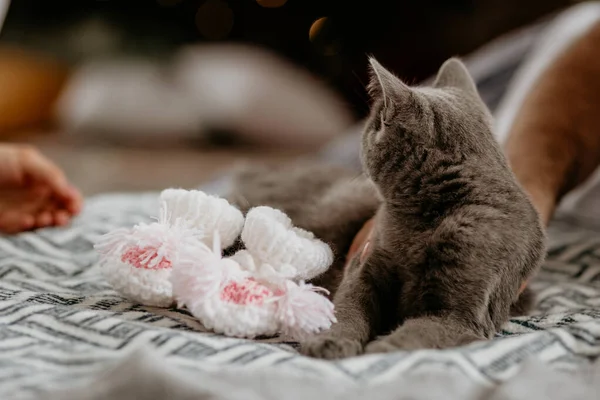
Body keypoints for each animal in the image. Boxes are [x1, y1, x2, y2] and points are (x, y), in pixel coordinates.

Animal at [225, 57, 544, 360]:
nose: (364, 134)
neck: (419, 224)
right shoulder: (366, 267)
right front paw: (330, 342)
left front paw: (381, 349)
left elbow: (420, 332)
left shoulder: (459, 315)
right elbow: (348, 311)